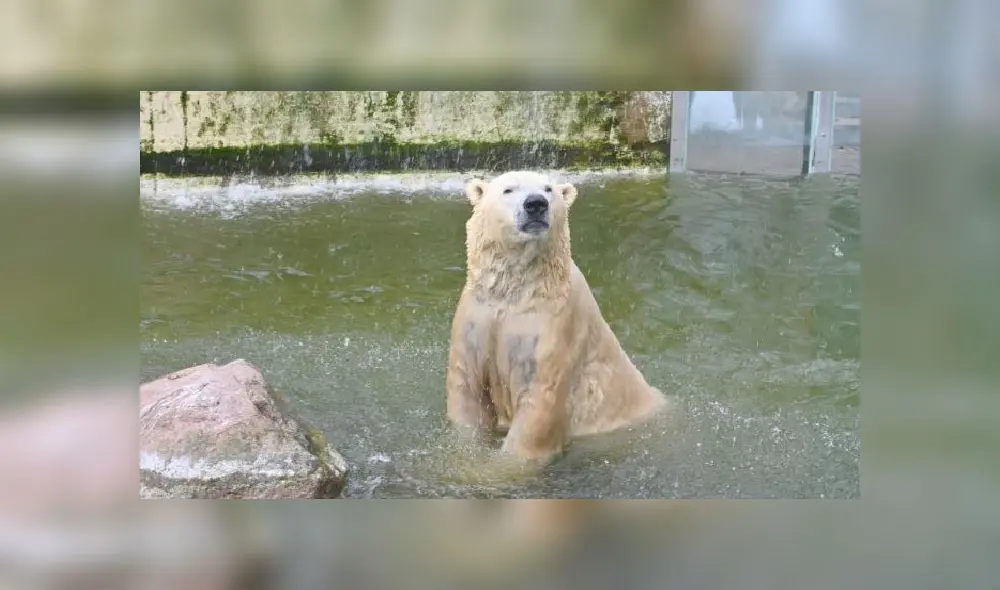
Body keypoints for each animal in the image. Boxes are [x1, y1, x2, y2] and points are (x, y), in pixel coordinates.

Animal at [445, 170, 668, 465]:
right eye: (508, 189)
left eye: (548, 188)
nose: (536, 204)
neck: (519, 290)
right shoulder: (478, 315)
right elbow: (466, 386)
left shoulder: (556, 324)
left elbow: (540, 402)